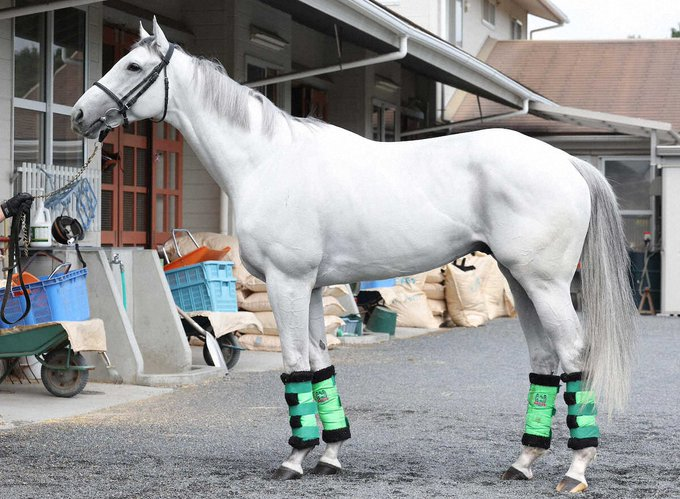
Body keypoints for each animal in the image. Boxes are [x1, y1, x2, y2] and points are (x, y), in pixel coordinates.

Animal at [71, 18, 637, 493]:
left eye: (133, 67)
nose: (79, 114)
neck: (268, 161)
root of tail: (565, 162)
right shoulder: (313, 287)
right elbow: (320, 365)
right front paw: (330, 455)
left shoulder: (289, 281)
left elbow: (295, 365)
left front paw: (295, 459)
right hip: (523, 284)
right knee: (544, 363)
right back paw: (522, 462)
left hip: (545, 285)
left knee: (574, 358)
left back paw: (575, 471)